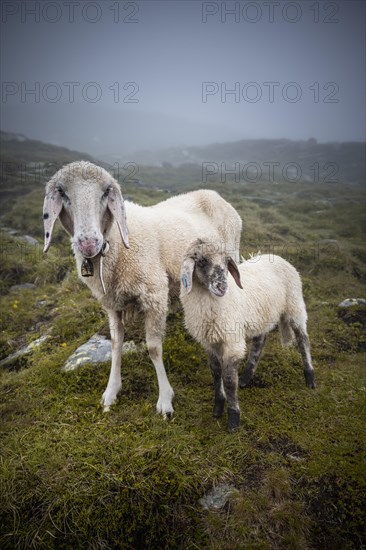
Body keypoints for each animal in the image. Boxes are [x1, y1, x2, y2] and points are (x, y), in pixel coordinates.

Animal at [43, 162, 242, 416]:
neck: (115, 243)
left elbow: (154, 348)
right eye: (63, 194)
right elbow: (116, 344)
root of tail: (214, 194)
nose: (88, 242)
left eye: (106, 192)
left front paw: (165, 399)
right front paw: (111, 391)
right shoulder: (112, 303)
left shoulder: (154, 294)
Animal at [179, 239, 314, 434]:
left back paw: (310, 378)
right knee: (260, 341)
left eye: (226, 261)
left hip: (294, 306)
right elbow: (215, 372)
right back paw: (245, 377)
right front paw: (218, 407)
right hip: (264, 314)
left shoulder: (232, 341)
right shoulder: (209, 342)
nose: (222, 287)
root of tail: (276, 256)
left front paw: (234, 418)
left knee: (303, 340)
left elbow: (228, 379)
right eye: (202, 261)